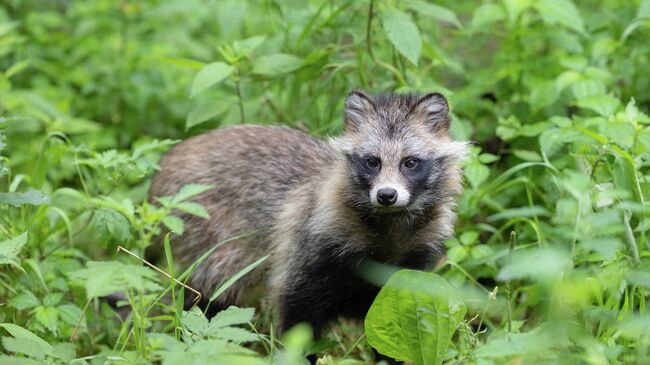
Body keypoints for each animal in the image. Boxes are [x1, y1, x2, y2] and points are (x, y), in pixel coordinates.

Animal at [149, 90, 466, 342]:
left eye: (410, 162)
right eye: (371, 161)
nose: (387, 194)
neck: (389, 227)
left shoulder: (412, 260)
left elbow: (395, 319)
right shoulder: (313, 244)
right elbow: (296, 316)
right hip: (206, 231)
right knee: (208, 296)